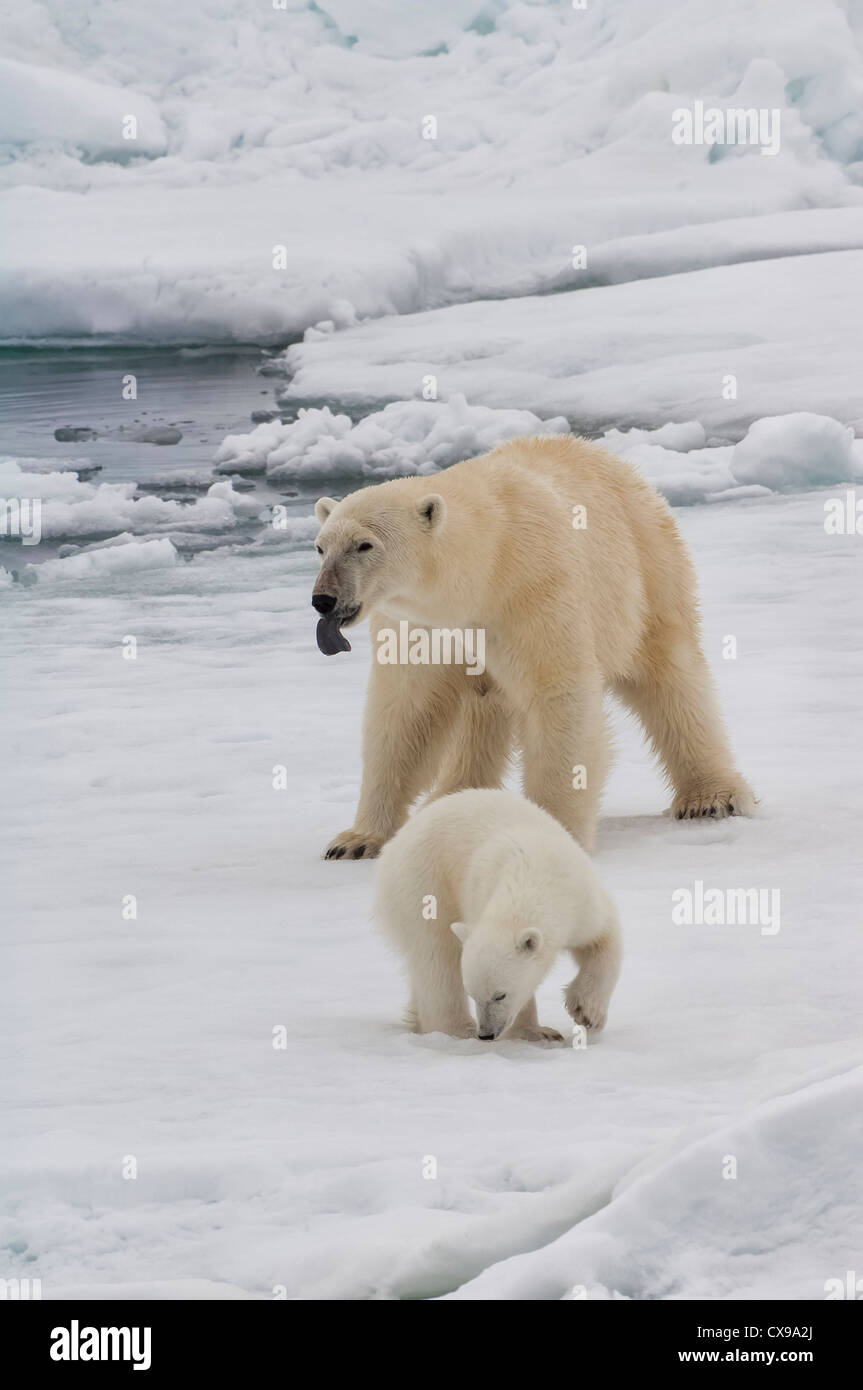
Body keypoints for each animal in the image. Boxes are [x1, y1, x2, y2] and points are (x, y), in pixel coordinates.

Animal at [312, 430, 750, 856]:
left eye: (364, 544)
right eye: (320, 547)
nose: (323, 599)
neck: (484, 567)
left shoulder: (533, 588)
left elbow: (557, 695)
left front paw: (556, 829)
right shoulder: (420, 626)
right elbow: (405, 713)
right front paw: (355, 840)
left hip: (647, 568)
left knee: (670, 676)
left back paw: (711, 796)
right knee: (480, 712)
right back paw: (451, 800)